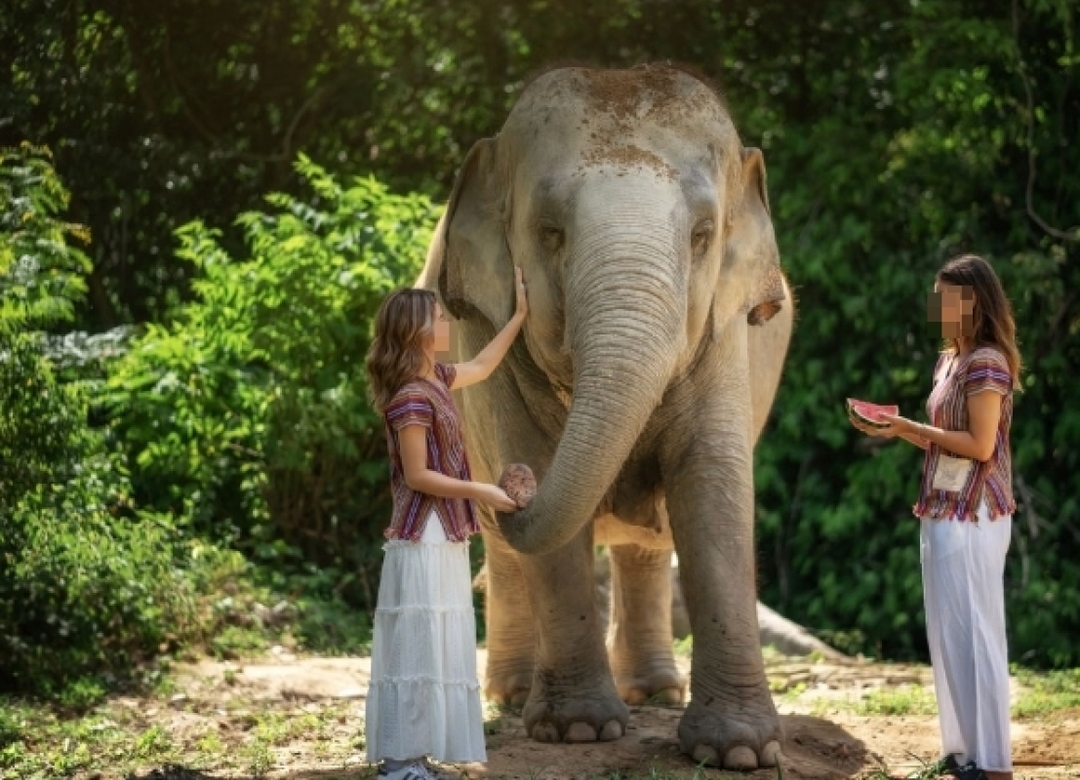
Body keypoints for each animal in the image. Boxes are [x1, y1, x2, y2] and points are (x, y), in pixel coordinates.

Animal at [416, 64, 793, 770]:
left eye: (703, 235)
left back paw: (655, 694)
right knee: (508, 550)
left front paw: (740, 751)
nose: (511, 486)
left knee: (648, 545)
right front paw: (578, 731)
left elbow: (712, 485)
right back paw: (514, 694)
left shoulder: (725, 332)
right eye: (550, 233)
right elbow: (541, 479)